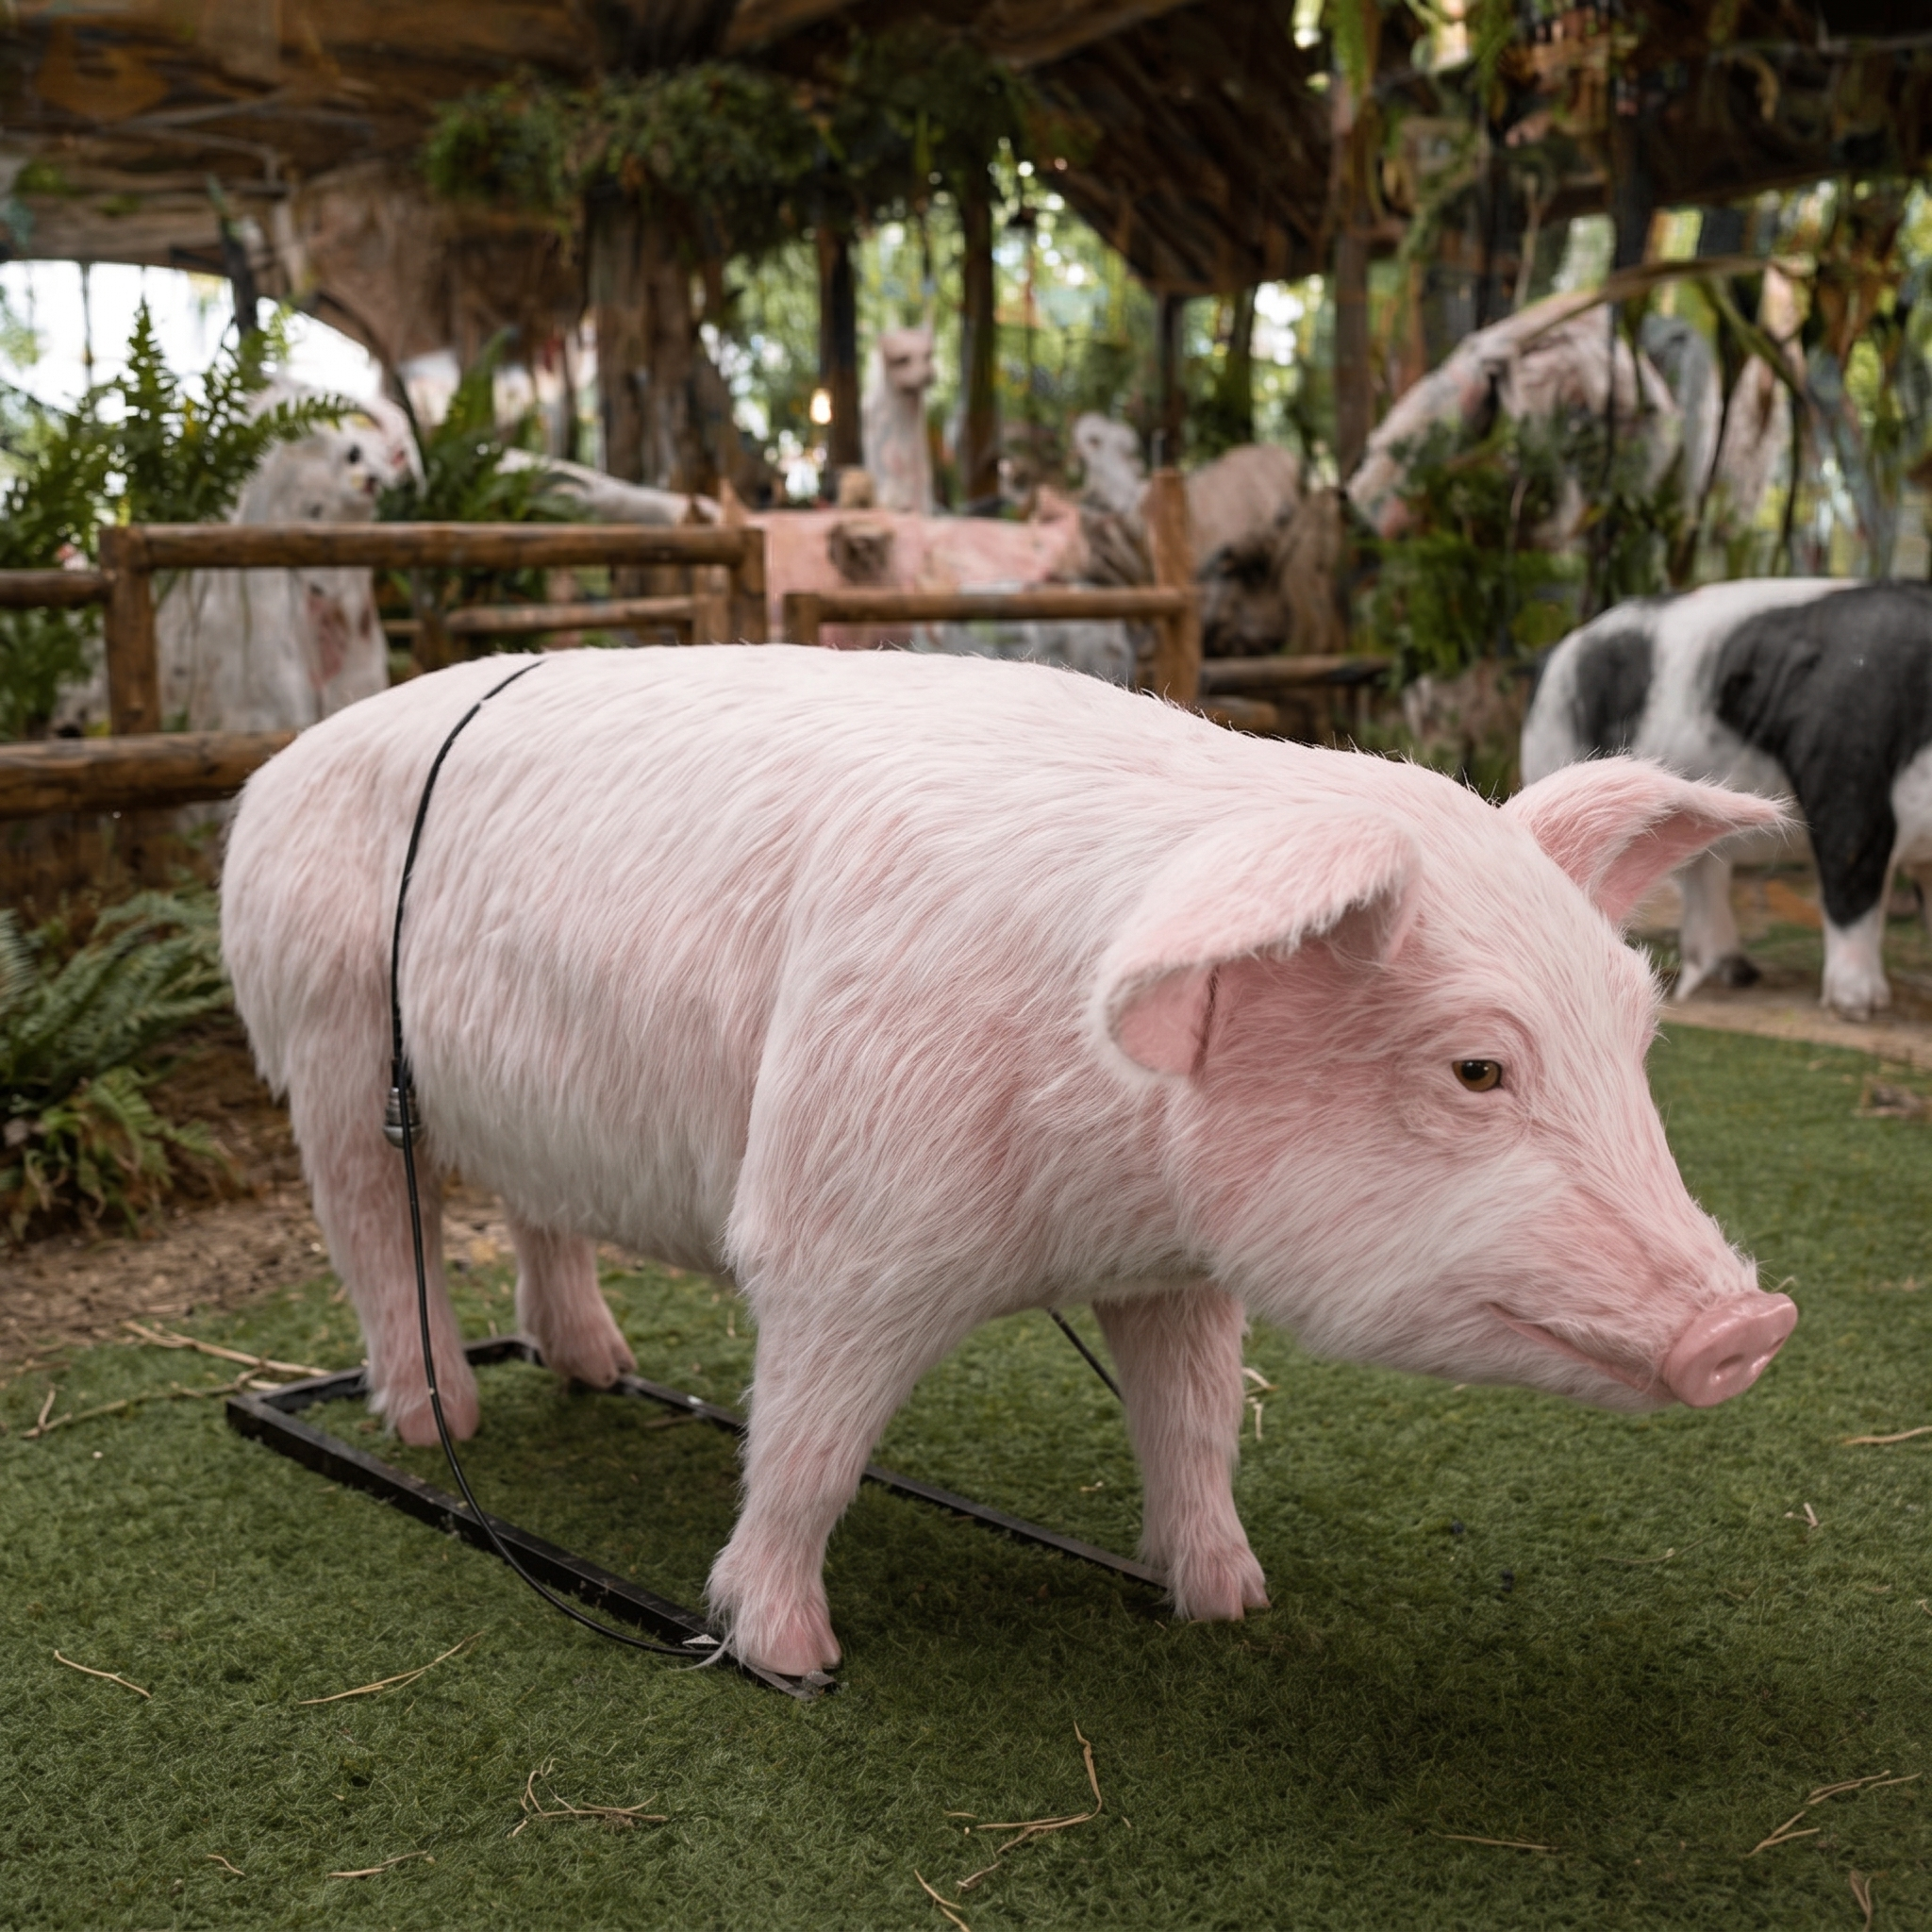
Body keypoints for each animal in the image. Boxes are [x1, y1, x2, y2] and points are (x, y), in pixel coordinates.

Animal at [221, 646, 1797, 1678]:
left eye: (1637, 1028)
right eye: (1477, 1067)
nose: (1753, 1323)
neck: (1101, 1183)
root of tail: (274, 769)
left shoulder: (1176, 1268)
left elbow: (1195, 1420)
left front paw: (1229, 1603)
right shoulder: (837, 1218)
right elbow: (808, 1444)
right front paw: (791, 1658)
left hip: (528, 1097)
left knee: (538, 1216)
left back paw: (600, 1372)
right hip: (333, 1049)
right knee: (378, 1234)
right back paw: (438, 1423)